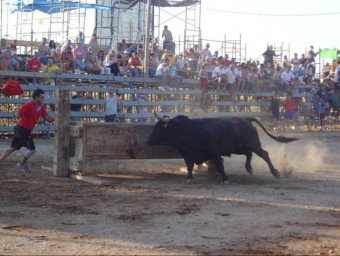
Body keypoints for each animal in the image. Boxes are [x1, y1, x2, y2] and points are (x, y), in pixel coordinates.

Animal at [147, 114, 298, 184]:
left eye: (158, 128)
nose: (148, 140)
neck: (187, 130)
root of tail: (246, 119)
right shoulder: (187, 154)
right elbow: (189, 166)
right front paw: (188, 178)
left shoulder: (214, 151)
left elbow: (219, 165)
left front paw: (225, 179)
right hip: (241, 147)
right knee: (249, 155)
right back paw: (249, 168)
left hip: (254, 144)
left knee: (264, 154)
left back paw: (275, 173)